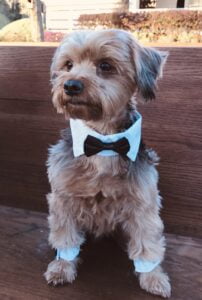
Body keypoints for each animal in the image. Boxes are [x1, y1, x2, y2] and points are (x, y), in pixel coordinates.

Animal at [43, 28, 170, 298]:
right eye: (68, 65)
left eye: (105, 66)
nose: (70, 85)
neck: (103, 141)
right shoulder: (63, 197)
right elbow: (65, 235)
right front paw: (62, 267)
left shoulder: (143, 202)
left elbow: (147, 242)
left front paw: (153, 278)